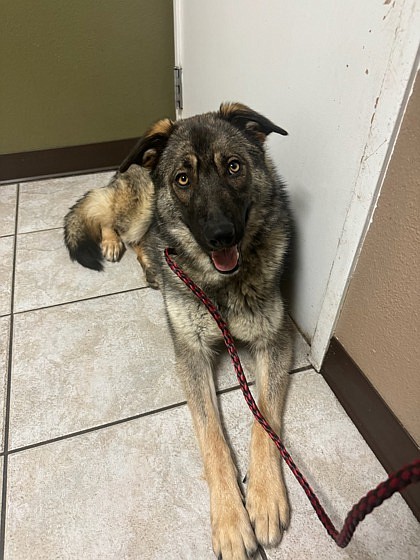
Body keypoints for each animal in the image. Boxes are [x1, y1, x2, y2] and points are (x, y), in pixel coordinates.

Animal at [64, 103, 294, 556]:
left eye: (234, 166)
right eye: (183, 179)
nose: (221, 235)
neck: (220, 285)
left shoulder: (275, 343)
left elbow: (265, 420)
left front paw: (265, 496)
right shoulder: (191, 355)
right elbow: (213, 440)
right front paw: (231, 520)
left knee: (144, 241)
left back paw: (151, 265)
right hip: (139, 211)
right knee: (120, 226)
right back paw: (116, 245)